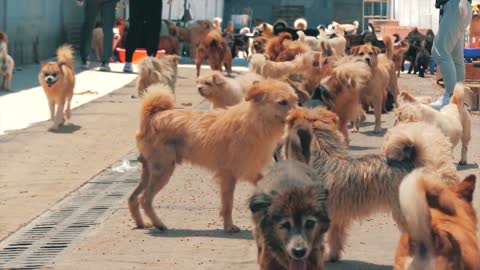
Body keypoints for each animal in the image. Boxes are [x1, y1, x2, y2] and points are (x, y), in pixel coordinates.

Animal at [129, 79, 298, 233]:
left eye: (296, 101)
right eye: (282, 102)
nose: (299, 115)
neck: (256, 121)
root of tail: (152, 116)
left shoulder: (249, 171)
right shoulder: (229, 175)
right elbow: (228, 204)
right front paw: (229, 227)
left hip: (150, 171)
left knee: (132, 197)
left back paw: (141, 223)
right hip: (163, 170)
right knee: (145, 199)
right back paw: (159, 224)